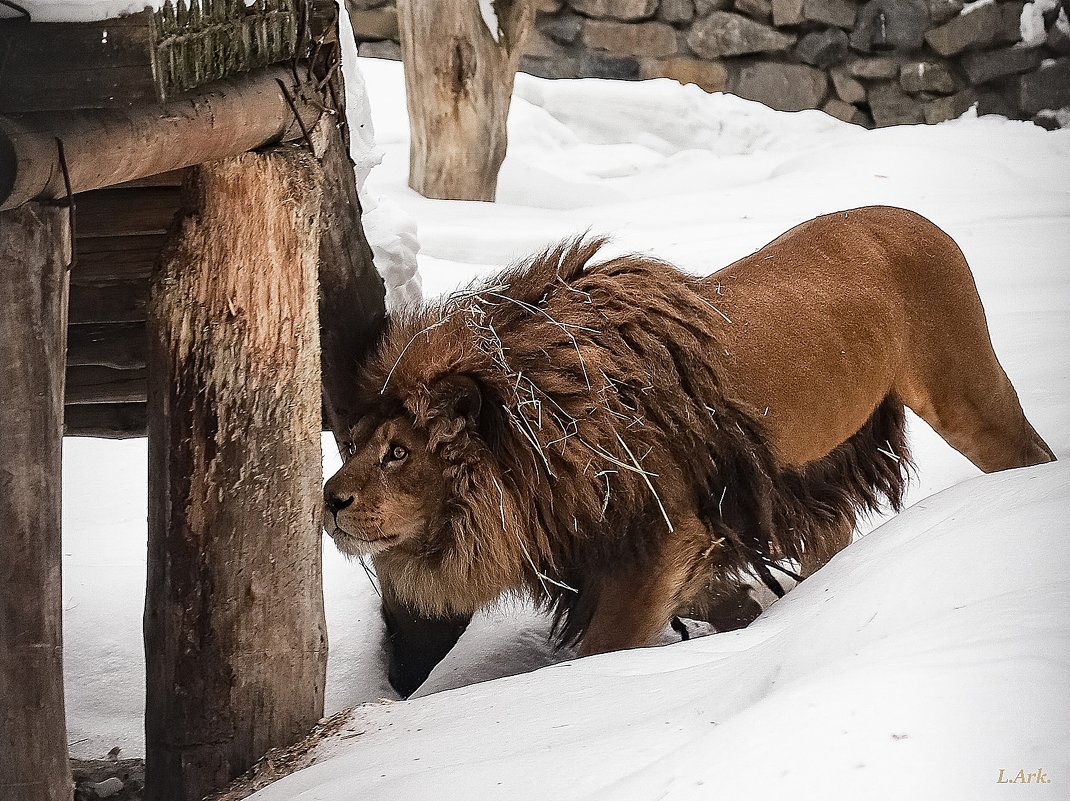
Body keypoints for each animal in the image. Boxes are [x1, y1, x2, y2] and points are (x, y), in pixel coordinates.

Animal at [323, 206, 1052, 663]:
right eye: (354, 445)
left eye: (397, 452)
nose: (328, 501)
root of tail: (914, 217)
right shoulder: (687, 539)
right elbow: (727, 603)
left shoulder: (664, 537)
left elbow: (605, 647)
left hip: (967, 394)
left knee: (1030, 455)